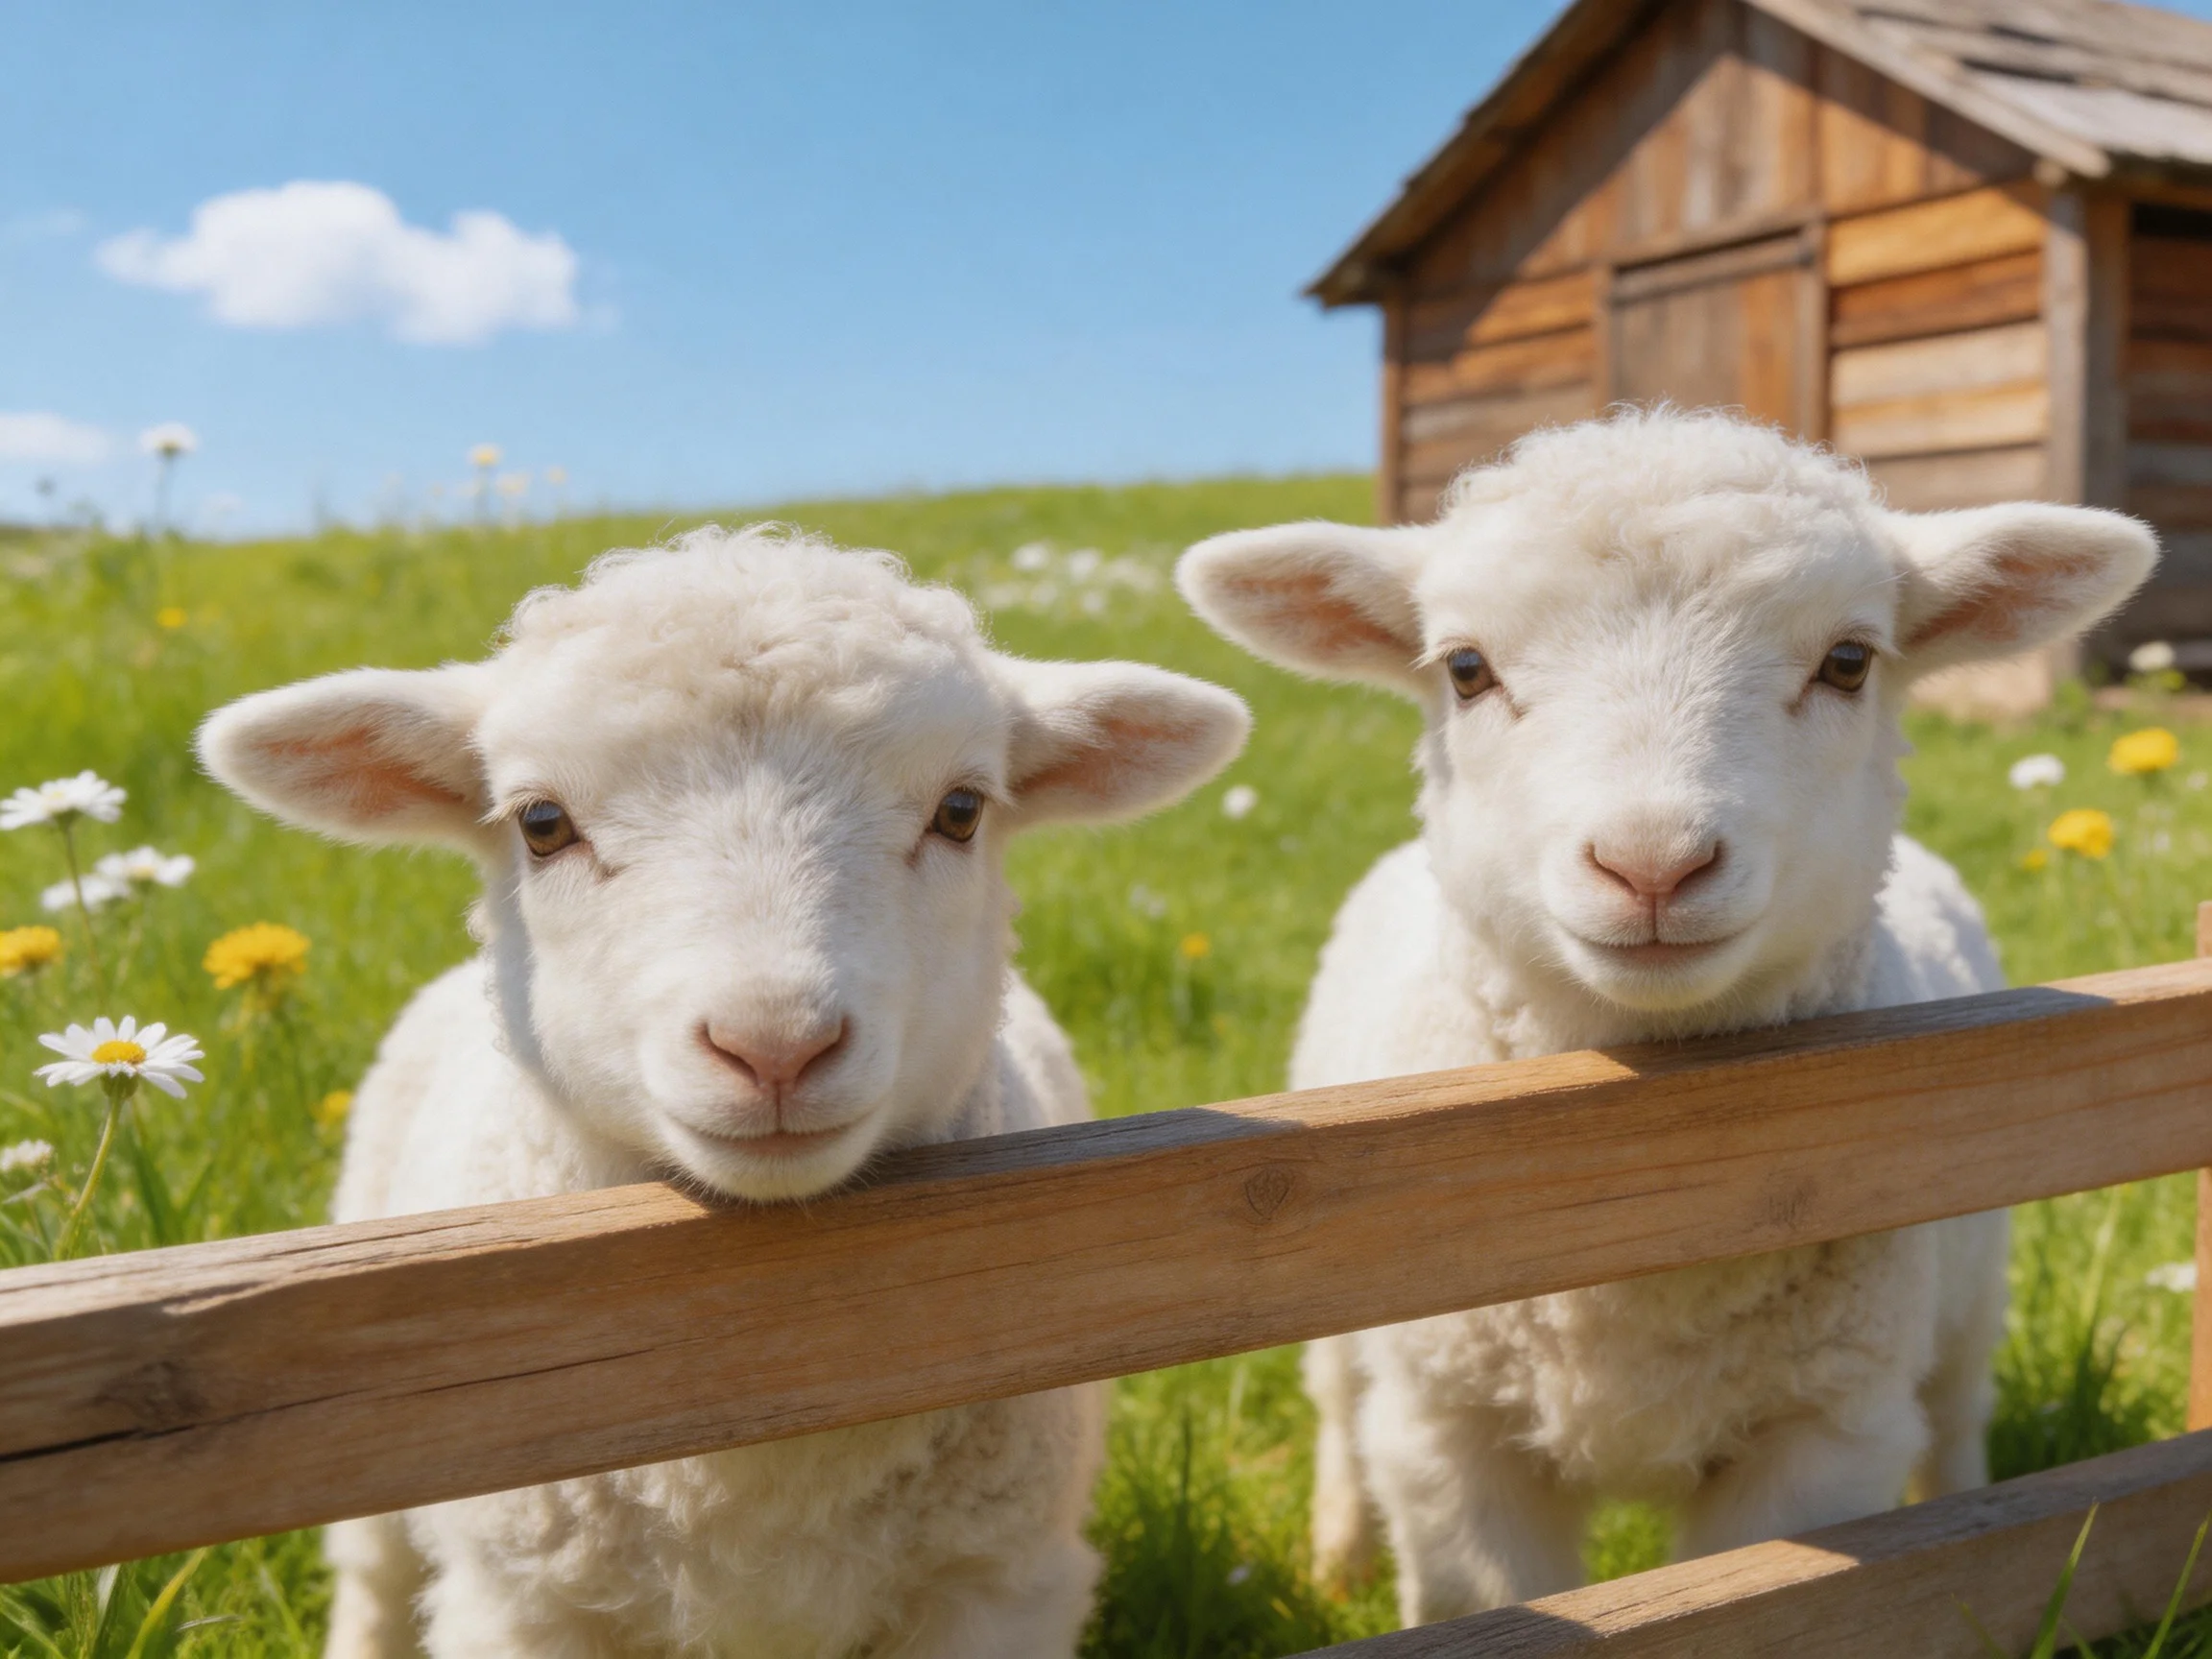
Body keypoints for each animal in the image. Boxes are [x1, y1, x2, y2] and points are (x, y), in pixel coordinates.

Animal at [198, 525, 1250, 1659]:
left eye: (962, 811)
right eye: (540, 823)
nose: (775, 1046)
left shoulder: (996, 1585)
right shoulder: (526, 1603)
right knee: (372, 1576)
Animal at [1175, 408, 2156, 1625]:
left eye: (1849, 661)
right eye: (1466, 669)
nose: (1652, 866)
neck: (1640, 1172)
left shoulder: (1819, 1431)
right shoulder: (1456, 1434)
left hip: (1971, 1285)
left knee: (1957, 1416)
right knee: (1334, 1413)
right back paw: (1338, 1553)